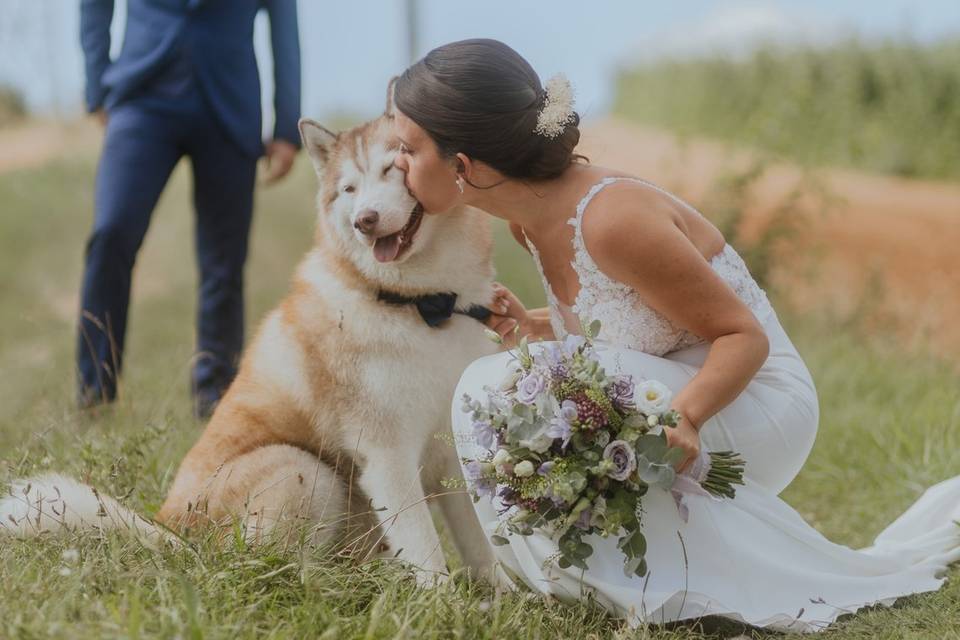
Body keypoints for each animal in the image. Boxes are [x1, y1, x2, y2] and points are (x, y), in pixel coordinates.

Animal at [1, 92, 502, 588]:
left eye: (391, 170)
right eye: (348, 190)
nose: (366, 220)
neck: (421, 304)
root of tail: (173, 534)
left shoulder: (447, 453)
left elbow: (481, 547)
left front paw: (499, 599)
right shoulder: (386, 454)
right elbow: (426, 551)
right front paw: (443, 601)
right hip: (305, 470)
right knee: (268, 569)